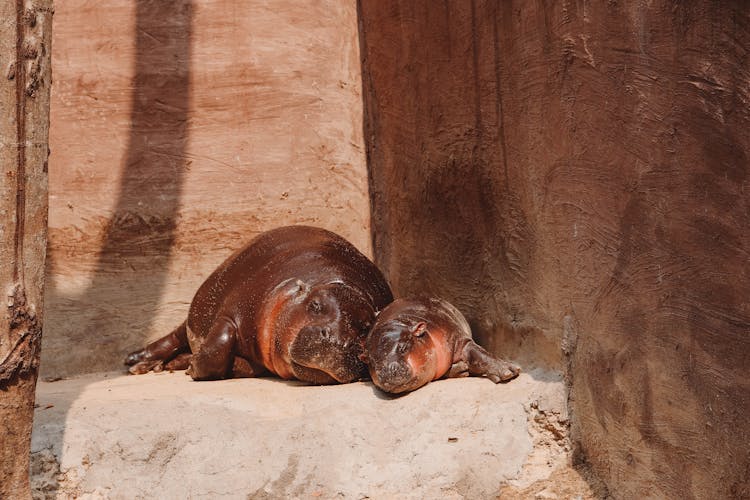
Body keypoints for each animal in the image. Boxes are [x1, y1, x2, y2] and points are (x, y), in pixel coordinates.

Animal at [366, 296, 524, 394]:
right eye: (370, 361)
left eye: (403, 347)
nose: (386, 371)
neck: (402, 322)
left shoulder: (459, 339)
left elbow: (479, 354)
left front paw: (509, 371)